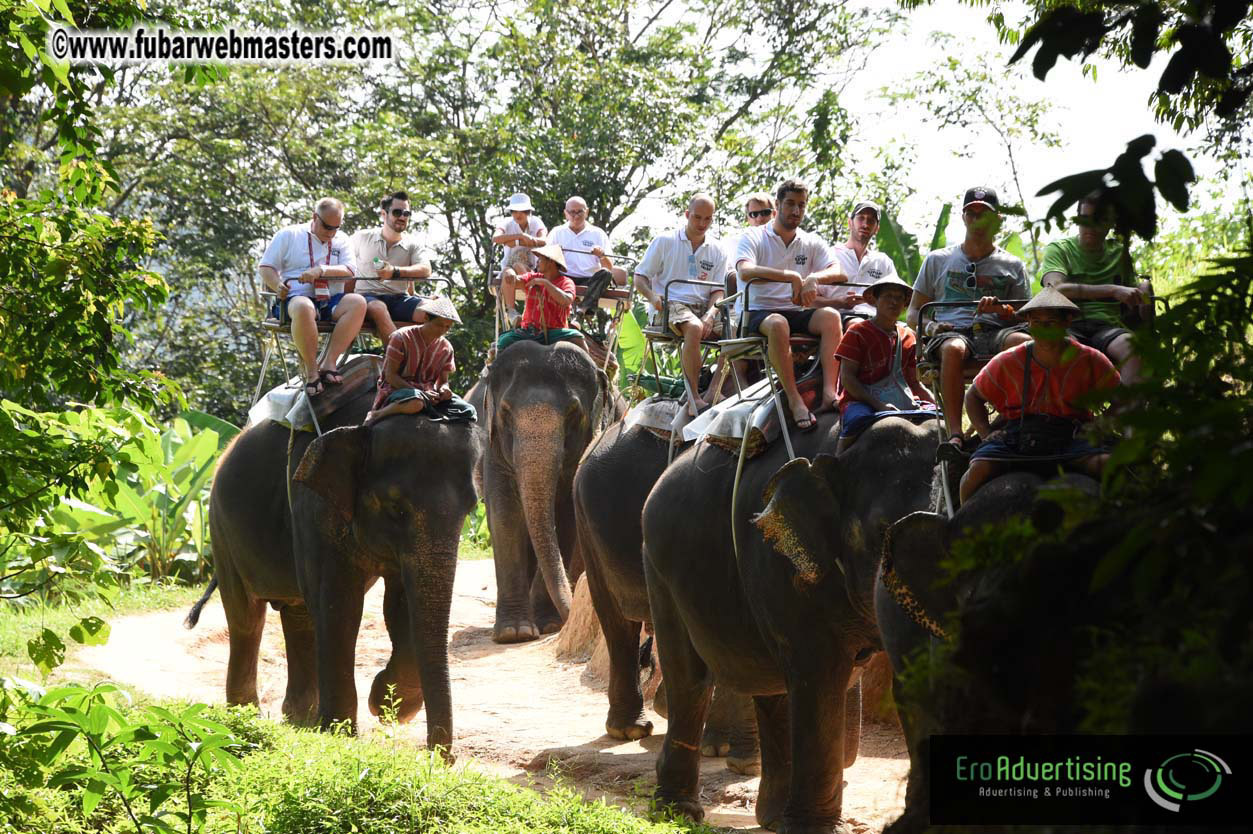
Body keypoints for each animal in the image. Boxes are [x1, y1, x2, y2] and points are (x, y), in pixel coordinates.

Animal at [187, 384, 482, 754]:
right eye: (396, 508)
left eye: (471, 508)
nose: (442, 758)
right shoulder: (312, 508)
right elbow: (339, 605)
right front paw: (342, 733)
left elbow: (399, 605)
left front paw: (387, 703)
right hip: (220, 529)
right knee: (246, 618)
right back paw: (246, 717)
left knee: (299, 616)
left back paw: (298, 720)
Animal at [481, 340, 617, 643]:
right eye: (505, 411)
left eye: (573, 413)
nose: (571, 615)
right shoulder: (493, 449)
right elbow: (505, 516)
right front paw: (514, 633)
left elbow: (565, 519)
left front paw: (548, 625)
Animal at [641, 414, 941, 833]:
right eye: (881, 532)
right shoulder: (784, 564)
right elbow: (820, 677)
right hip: (659, 566)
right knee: (690, 678)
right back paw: (677, 812)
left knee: (772, 685)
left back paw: (770, 819)